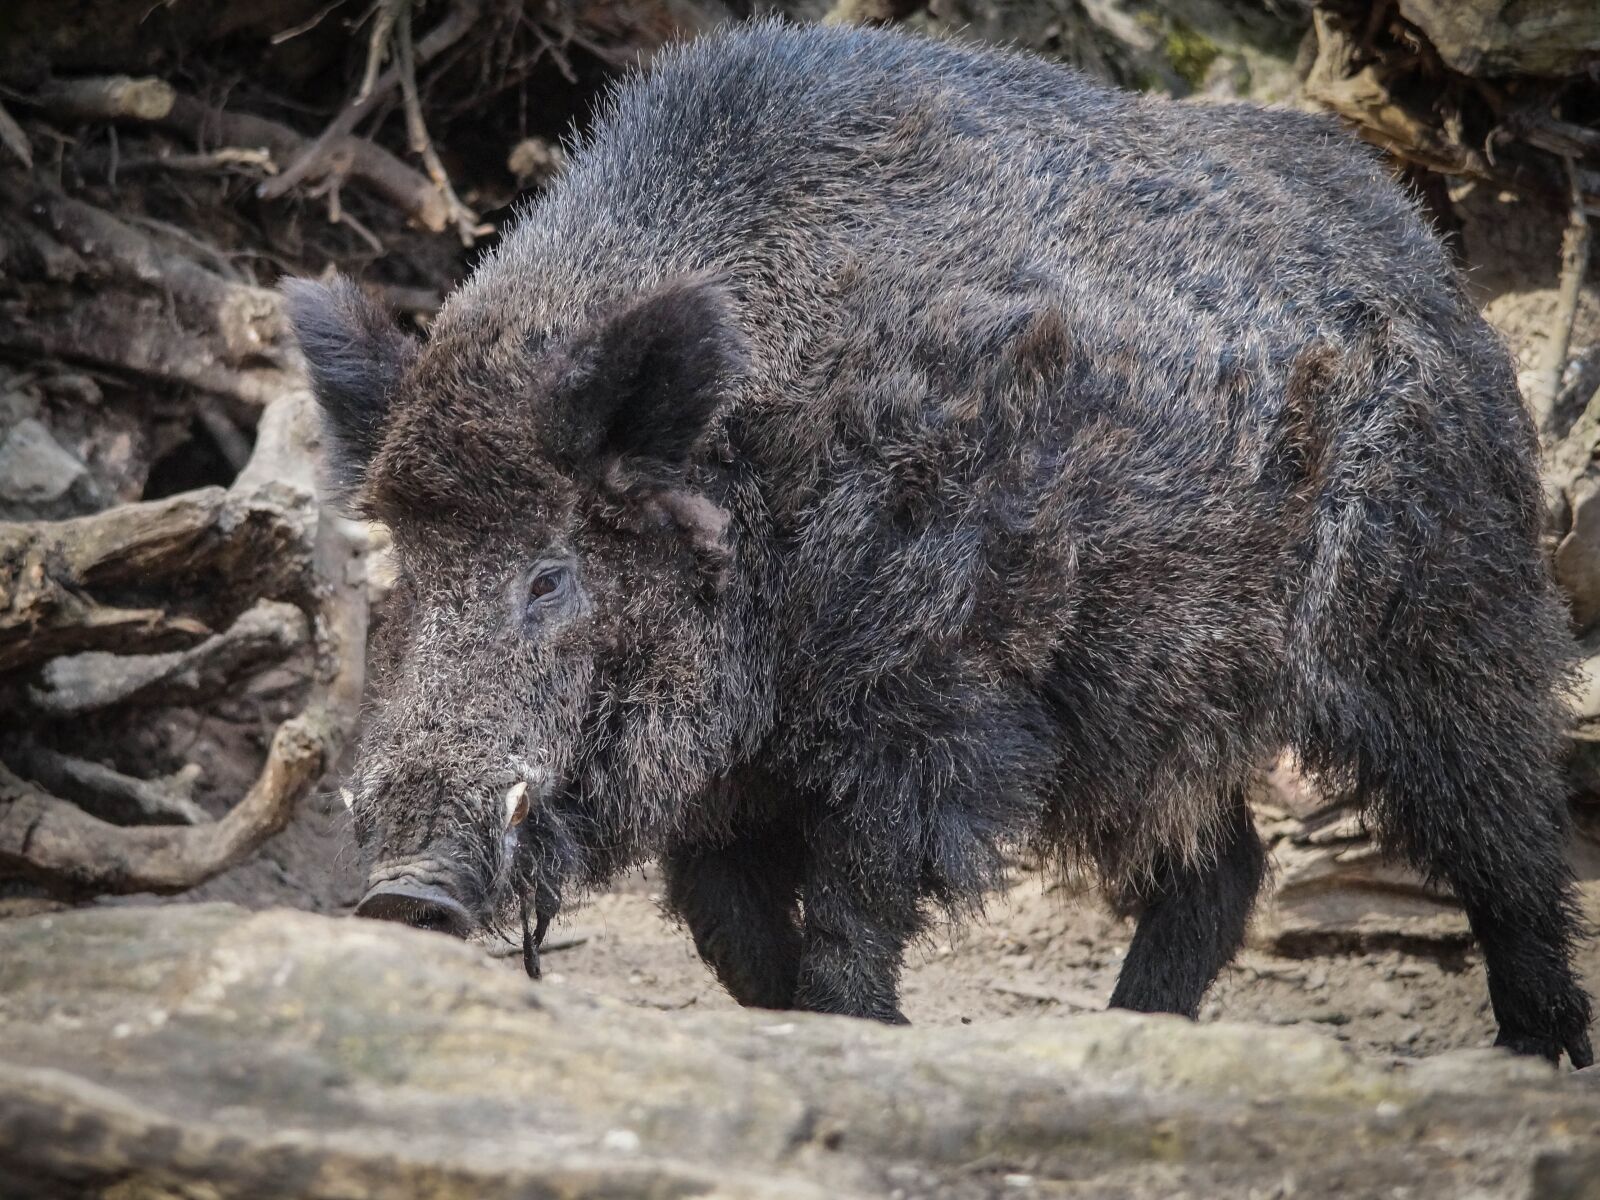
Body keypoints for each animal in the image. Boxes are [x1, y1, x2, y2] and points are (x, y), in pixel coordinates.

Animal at [283, 18, 1593, 1063]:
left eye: (550, 571)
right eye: (411, 564)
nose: (401, 896)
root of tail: (1428, 261)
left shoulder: (927, 706)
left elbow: (857, 906)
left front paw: (859, 1032)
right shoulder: (730, 785)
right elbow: (731, 933)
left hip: (1442, 610)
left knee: (1507, 833)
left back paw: (1544, 1051)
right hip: (1151, 698)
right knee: (1221, 870)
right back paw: (1127, 1039)